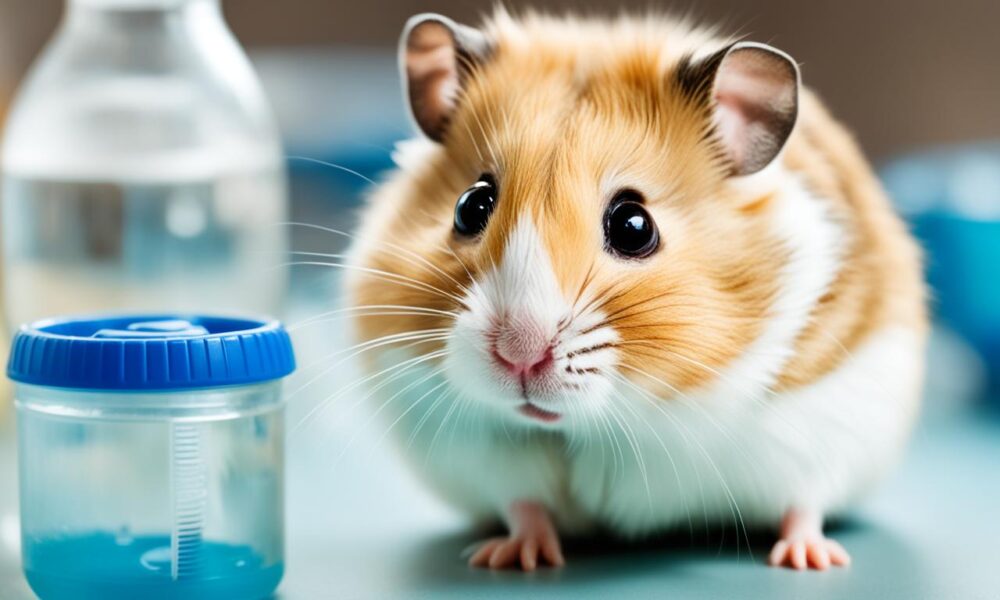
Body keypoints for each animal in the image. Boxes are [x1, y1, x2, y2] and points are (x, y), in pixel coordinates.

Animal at [345, 9, 927, 572]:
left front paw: (811, 562)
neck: (606, 423)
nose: (518, 355)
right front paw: (513, 559)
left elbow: (803, 504)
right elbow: (523, 505)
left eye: (633, 226)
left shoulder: (818, 431)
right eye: (470, 206)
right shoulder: (485, 459)